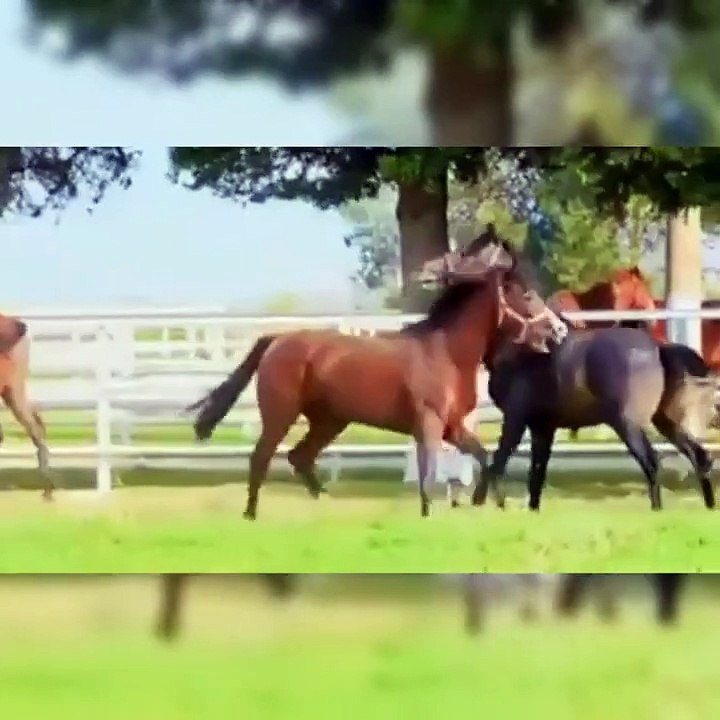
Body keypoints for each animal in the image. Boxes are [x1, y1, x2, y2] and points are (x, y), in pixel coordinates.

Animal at [185, 226, 569, 519]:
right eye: (527, 295)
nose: (558, 330)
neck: (445, 352)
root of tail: (277, 339)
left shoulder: (453, 427)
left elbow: (483, 457)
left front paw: (497, 504)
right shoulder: (429, 424)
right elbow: (429, 473)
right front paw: (429, 515)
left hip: (330, 420)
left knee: (300, 457)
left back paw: (326, 505)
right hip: (281, 414)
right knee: (262, 457)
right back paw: (251, 514)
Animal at [475, 323, 719, 512]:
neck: (516, 357)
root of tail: (658, 348)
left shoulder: (515, 419)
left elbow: (498, 460)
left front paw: (489, 503)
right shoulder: (542, 427)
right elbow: (537, 471)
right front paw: (531, 510)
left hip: (627, 424)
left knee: (651, 462)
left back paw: (657, 509)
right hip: (664, 421)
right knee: (699, 456)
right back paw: (709, 506)